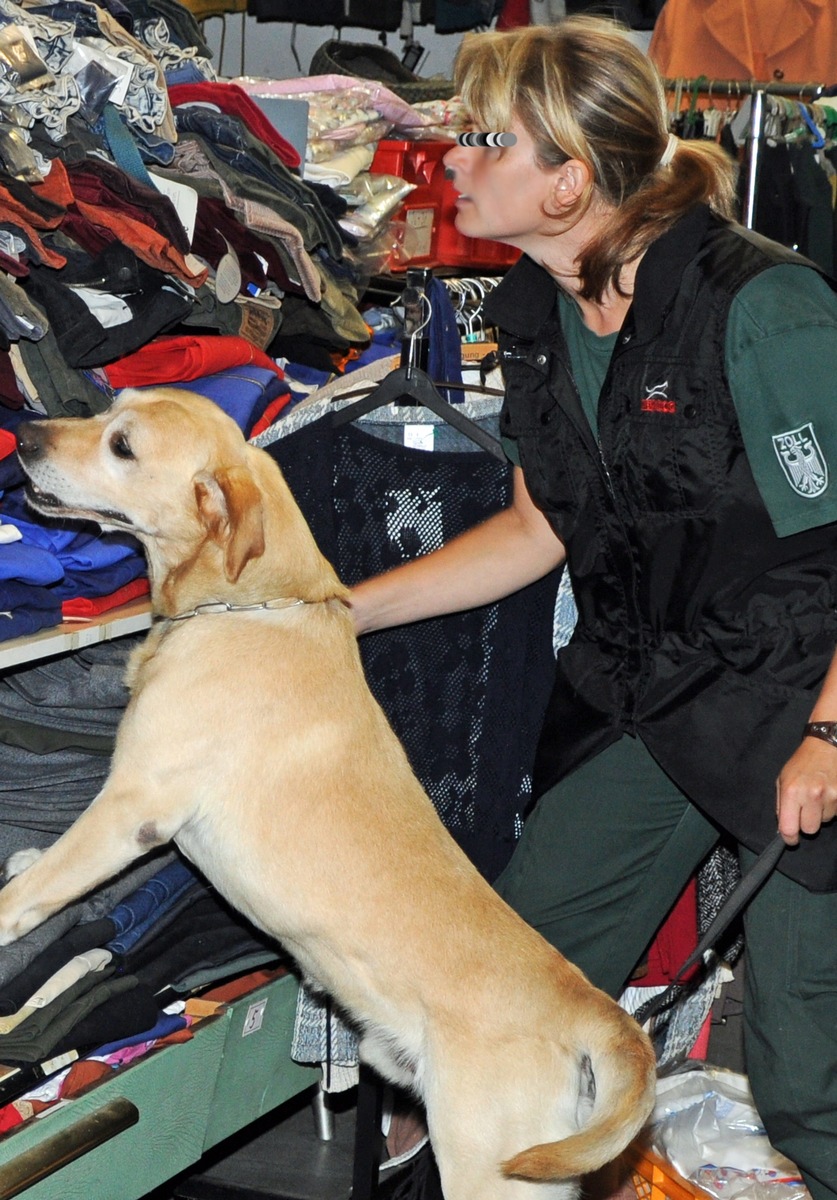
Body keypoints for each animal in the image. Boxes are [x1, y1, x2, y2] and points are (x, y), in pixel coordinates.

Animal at [1, 388, 652, 1195]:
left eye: (122, 445)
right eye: (107, 409)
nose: (25, 438)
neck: (249, 605)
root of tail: (586, 1004)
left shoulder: (131, 810)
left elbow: (32, 898)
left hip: (486, 1169)